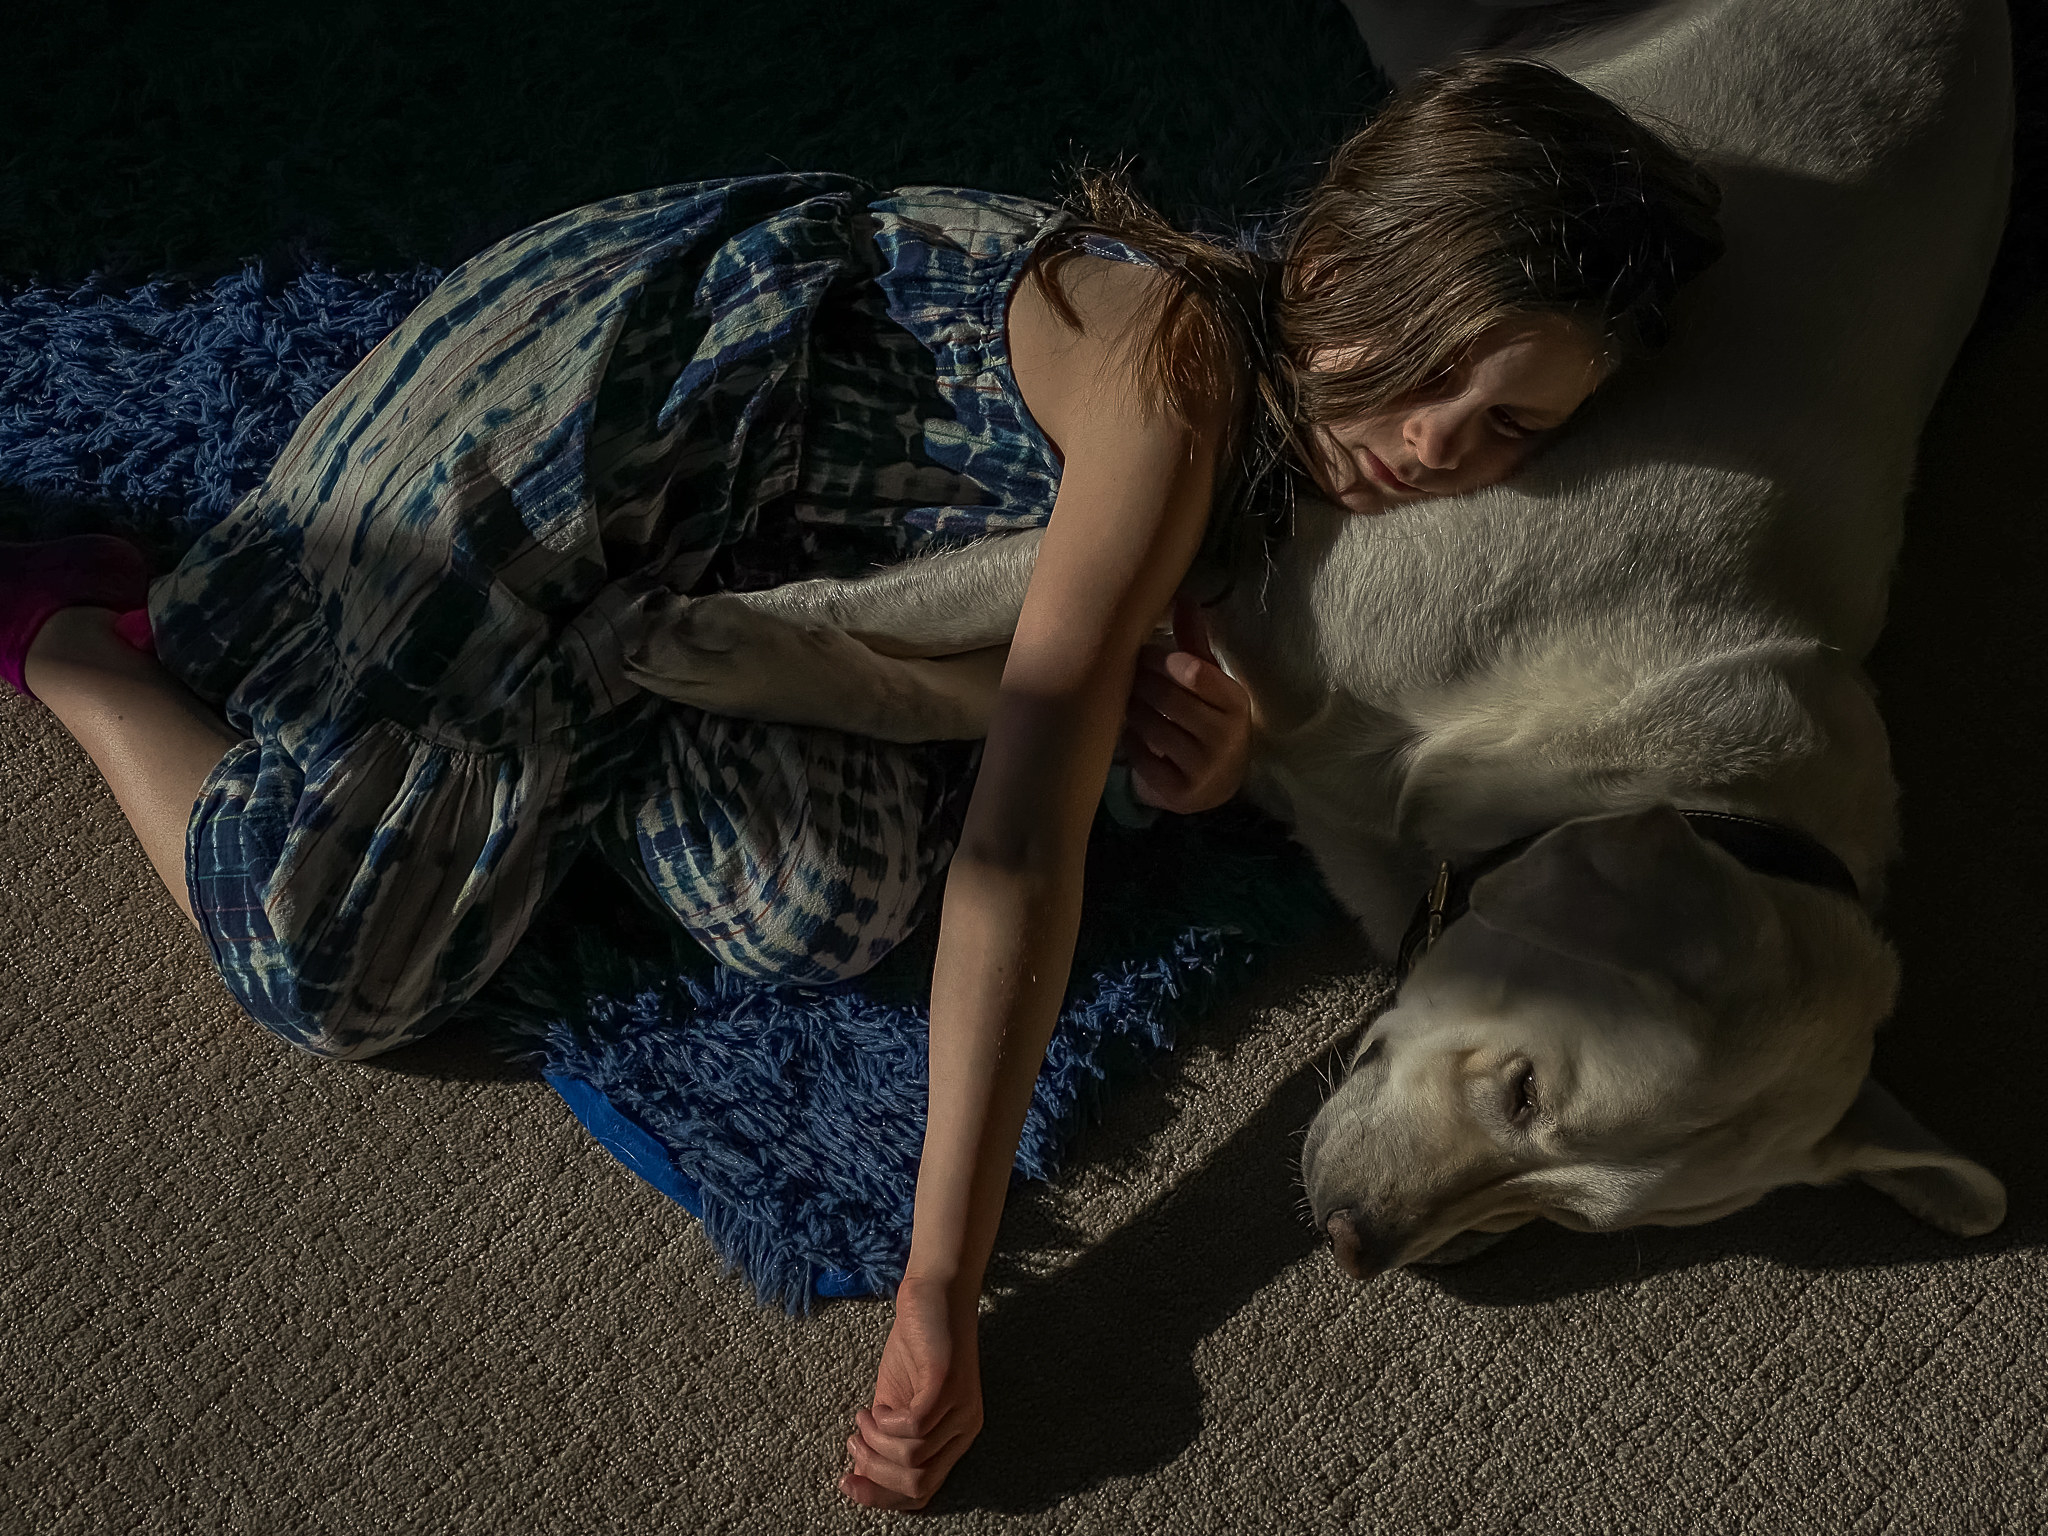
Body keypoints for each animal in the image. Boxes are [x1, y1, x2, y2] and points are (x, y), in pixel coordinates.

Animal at [618, 0, 1998, 1277]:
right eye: (1524, 1093)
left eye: (1574, 1214)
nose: (1353, 1245)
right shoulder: (1232, 571)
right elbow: (935, 615)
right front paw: (730, 637)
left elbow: (992, 698)